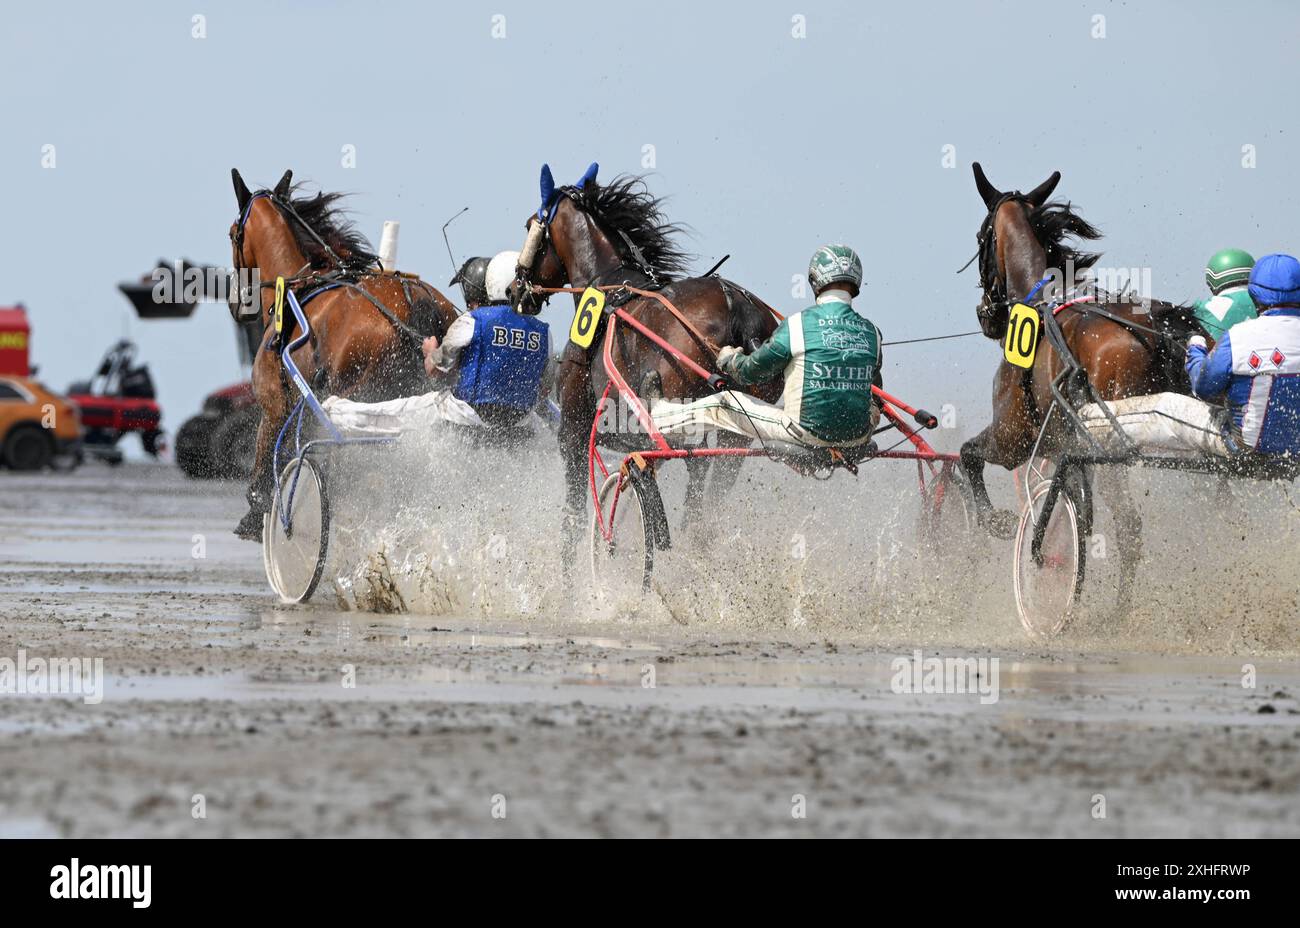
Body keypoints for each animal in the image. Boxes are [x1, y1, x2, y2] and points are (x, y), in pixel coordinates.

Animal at [230, 170, 462, 538]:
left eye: (232, 234)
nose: (236, 304)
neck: (297, 289)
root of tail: (414, 299)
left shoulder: (274, 404)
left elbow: (266, 463)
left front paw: (259, 516)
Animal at [506, 161, 780, 561]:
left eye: (529, 226)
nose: (514, 290)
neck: (607, 287)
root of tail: (737, 304)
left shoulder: (573, 433)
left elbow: (573, 524)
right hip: (735, 437)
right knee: (706, 504)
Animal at [956, 163, 1196, 618]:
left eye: (980, 237)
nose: (985, 315)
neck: (1038, 304)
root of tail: (1153, 336)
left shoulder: (1013, 439)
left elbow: (968, 456)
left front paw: (998, 522)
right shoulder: (1058, 451)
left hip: (1111, 451)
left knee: (1129, 527)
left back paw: (1116, 615)